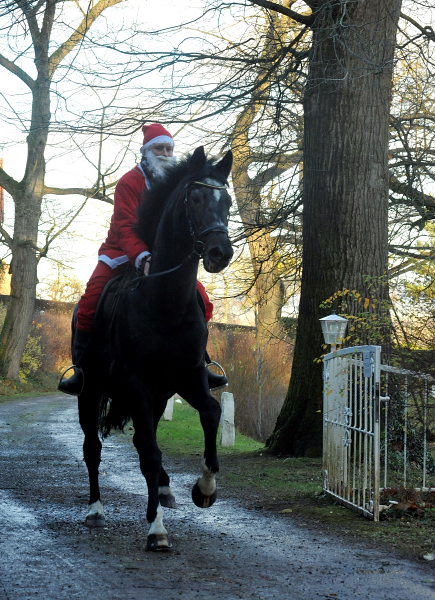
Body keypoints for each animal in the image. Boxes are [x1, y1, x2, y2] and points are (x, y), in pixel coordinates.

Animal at [78, 146, 235, 548]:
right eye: (194, 199)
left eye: (227, 202)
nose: (220, 252)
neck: (165, 302)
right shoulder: (135, 384)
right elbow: (149, 453)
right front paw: (157, 529)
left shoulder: (189, 377)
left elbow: (211, 412)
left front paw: (205, 488)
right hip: (91, 392)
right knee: (93, 450)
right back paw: (95, 510)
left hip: (159, 397)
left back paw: (164, 489)